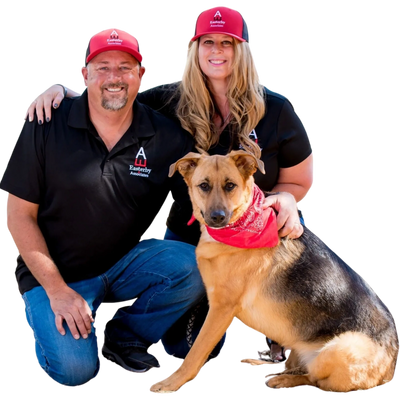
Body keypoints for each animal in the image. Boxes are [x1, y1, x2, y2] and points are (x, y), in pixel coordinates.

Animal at [146, 152, 396, 396]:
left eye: (230, 185)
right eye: (204, 186)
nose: (218, 217)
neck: (242, 221)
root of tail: (391, 367)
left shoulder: (221, 308)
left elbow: (195, 352)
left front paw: (170, 383)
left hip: (338, 349)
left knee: (316, 379)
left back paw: (284, 379)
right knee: (295, 365)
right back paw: (269, 366)